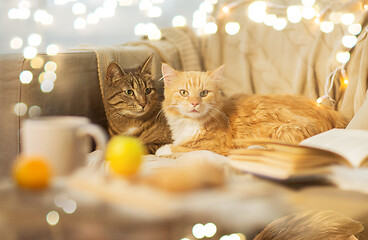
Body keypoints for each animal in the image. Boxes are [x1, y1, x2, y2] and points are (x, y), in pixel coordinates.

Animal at [156, 63, 348, 156]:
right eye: (184, 93)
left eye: (203, 93)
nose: (194, 103)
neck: (190, 123)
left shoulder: (216, 148)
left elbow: (178, 148)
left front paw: (163, 149)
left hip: (283, 129)